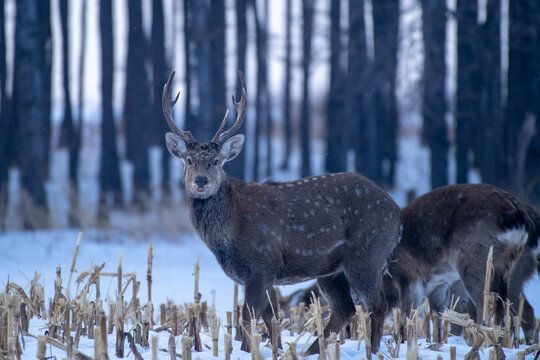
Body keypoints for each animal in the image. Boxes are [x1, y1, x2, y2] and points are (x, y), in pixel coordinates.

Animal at [162, 71, 402, 354]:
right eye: (189, 160)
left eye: (216, 161)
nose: (201, 181)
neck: (231, 229)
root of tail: (397, 214)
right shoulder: (262, 275)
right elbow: (271, 317)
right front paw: (274, 350)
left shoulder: (262, 263)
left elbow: (249, 317)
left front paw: (247, 350)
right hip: (332, 270)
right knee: (345, 308)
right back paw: (310, 352)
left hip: (367, 255)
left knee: (377, 306)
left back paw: (371, 351)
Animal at [384, 184, 540, 342]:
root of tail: (520, 220)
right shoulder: (438, 282)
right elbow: (436, 316)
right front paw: (437, 342)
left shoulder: (408, 277)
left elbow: (408, 316)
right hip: (505, 269)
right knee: (509, 306)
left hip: (477, 263)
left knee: (488, 304)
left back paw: (482, 337)